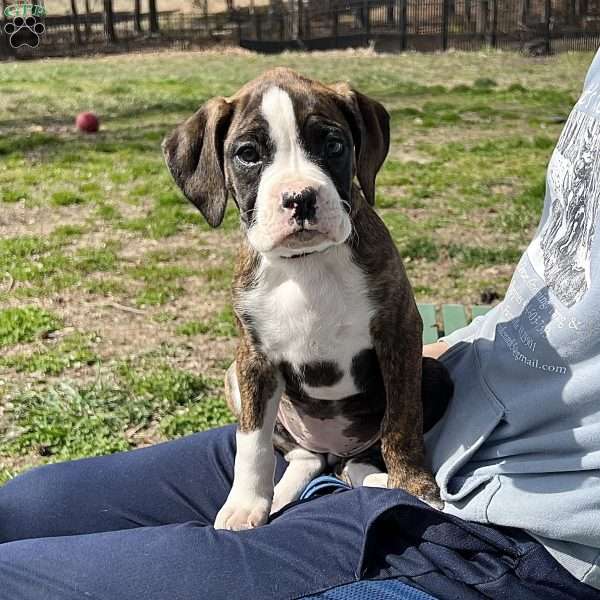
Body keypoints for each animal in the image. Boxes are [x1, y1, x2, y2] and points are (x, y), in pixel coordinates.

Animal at [162, 68, 452, 532]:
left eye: (333, 145)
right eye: (247, 154)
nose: (299, 197)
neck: (307, 265)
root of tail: (333, 447)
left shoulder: (400, 331)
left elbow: (402, 420)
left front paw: (413, 487)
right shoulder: (253, 359)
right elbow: (252, 441)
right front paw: (245, 503)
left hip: (434, 373)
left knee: (357, 458)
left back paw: (376, 478)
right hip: (234, 380)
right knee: (305, 457)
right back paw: (282, 493)